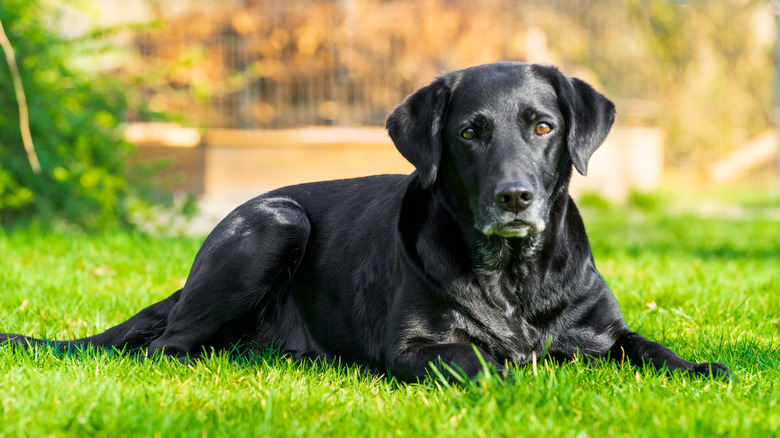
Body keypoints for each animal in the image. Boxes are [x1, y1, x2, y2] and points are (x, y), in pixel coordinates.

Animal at [1, 61, 732, 380]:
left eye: (543, 127)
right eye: (470, 132)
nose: (515, 197)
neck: (513, 279)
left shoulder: (604, 332)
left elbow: (650, 348)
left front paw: (703, 368)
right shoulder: (416, 345)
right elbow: (479, 358)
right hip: (276, 221)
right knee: (166, 348)